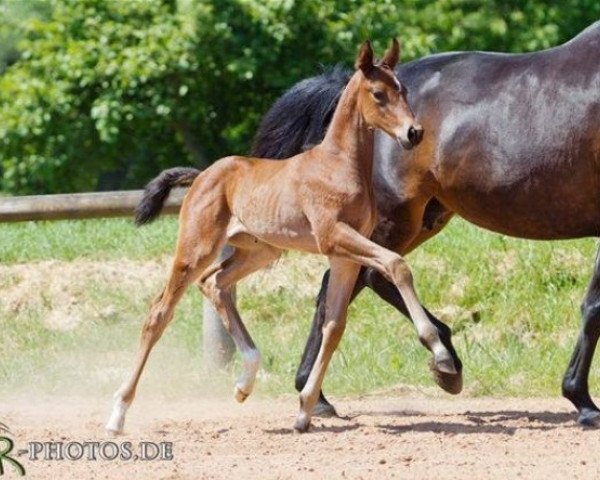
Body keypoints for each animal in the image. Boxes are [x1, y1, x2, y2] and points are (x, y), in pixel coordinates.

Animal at [106, 39, 454, 434]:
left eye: (404, 90)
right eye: (378, 94)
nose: (414, 133)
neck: (338, 166)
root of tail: (202, 175)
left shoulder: (343, 256)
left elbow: (334, 325)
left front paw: (304, 411)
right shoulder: (334, 237)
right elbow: (397, 265)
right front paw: (439, 351)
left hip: (259, 251)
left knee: (215, 283)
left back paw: (244, 383)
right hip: (197, 248)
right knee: (159, 313)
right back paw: (118, 414)